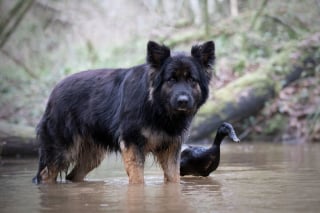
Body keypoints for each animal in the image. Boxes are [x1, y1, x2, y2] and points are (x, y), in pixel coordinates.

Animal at [33, 40, 215, 184]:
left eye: (191, 79)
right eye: (171, 79)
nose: (183, 101)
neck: (155, 107)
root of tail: (54, 91)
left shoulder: (171, 149)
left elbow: (174, 179)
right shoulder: (132, 144)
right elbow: (138, 180)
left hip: (92, 156)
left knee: (72, 176)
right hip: (61, 151)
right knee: (44, 175)